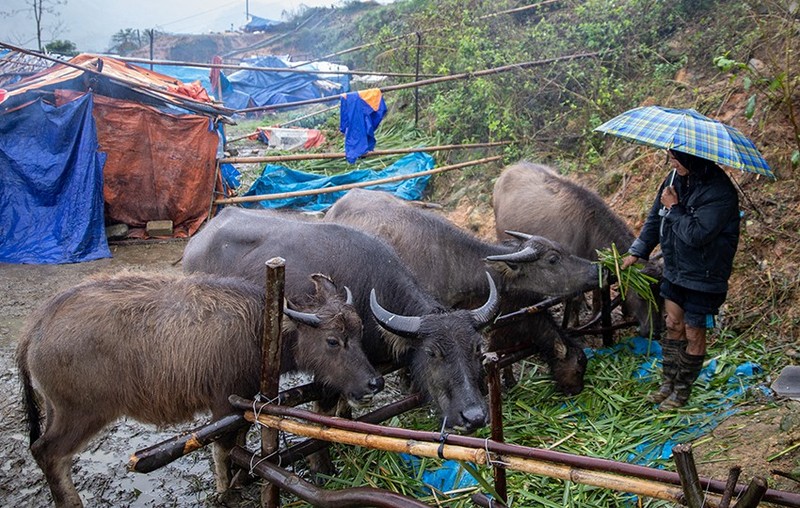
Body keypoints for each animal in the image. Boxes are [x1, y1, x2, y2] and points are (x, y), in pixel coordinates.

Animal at [16, 272, 382, 506]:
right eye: (332, 341)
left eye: (360, 332)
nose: (374, 382)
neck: (259, 328)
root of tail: (37, 327)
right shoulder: (223, 403)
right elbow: (222, 448)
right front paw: (226, 492)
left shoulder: (243, 403)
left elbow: (238, 442)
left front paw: (239, 479)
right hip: (81, 413)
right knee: (48, 454)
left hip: (56, 410)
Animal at [494, 161, 664, 340]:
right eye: (641, 295)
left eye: (662, 296)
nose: (656, 332)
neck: (589, 231)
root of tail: (508, 170)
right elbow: (572, 299)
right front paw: (573, 326)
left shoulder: (596, 266)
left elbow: (597, 295)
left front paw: (595, 319)